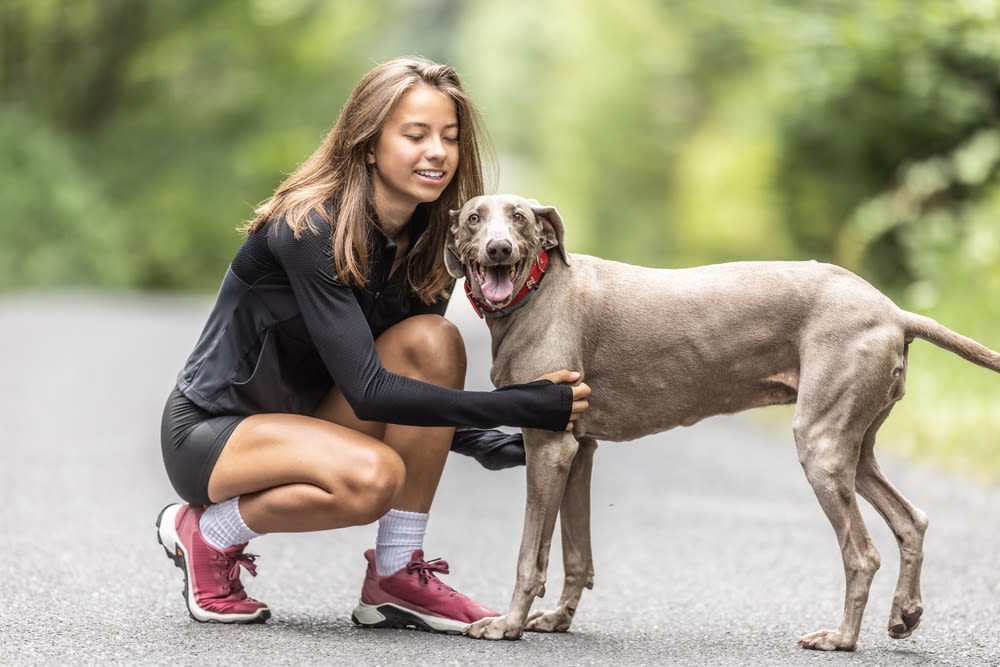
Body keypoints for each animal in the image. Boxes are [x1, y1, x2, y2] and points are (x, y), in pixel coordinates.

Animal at [446, 193, 1000, 652]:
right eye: (473, 217)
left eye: (519, 216)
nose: (497, 248)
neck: (537, 292)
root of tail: (893, 310)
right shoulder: (579, 449)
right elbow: (575, 552)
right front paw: (558, 618)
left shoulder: (548, 446)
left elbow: (528, 554)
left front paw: (507, 625)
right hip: (854, 448)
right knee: (911, 519)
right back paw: (905, 614)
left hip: (820, 445)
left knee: (862, 553)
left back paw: (841, 638)